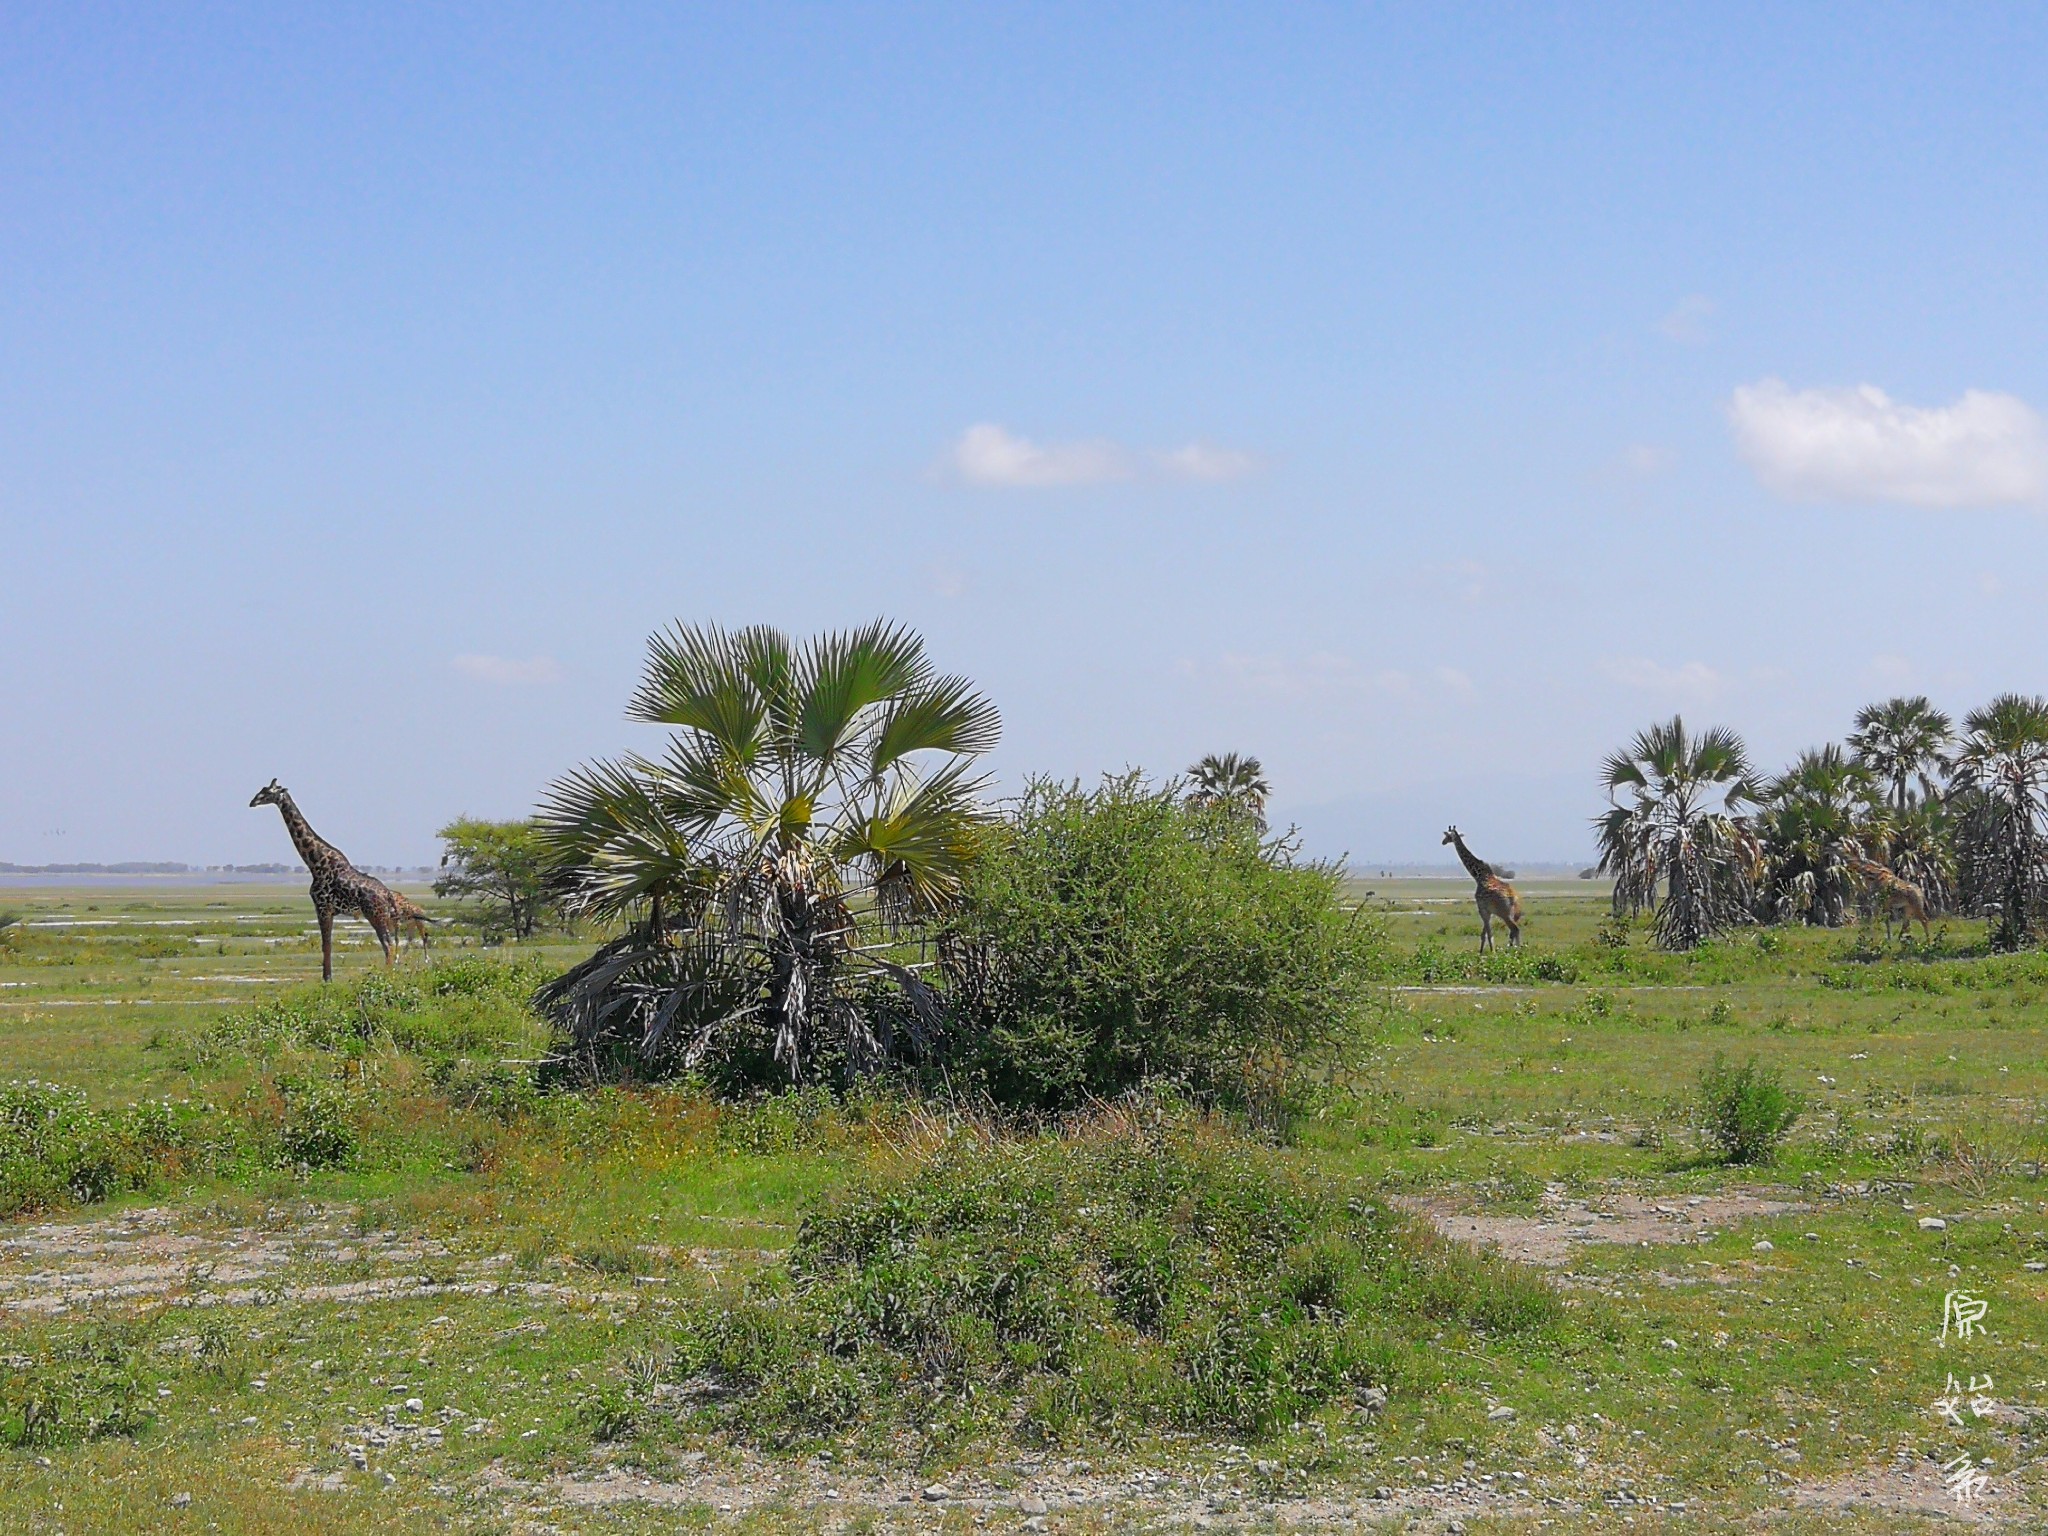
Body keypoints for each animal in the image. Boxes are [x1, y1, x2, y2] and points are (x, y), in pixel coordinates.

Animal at [253, 782, 434, 987]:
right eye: (261, 791)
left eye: (267, 792)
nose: (252, 802)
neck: (315, 862)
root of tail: (387, 894)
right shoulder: (329, 910)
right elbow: (328, 944)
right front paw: (328, 977)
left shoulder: (322, 907)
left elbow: (326, 944)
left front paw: (327, 979)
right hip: (387, 917)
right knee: (394, 944)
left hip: (376, 916)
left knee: (388, 945)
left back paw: (386, 976)